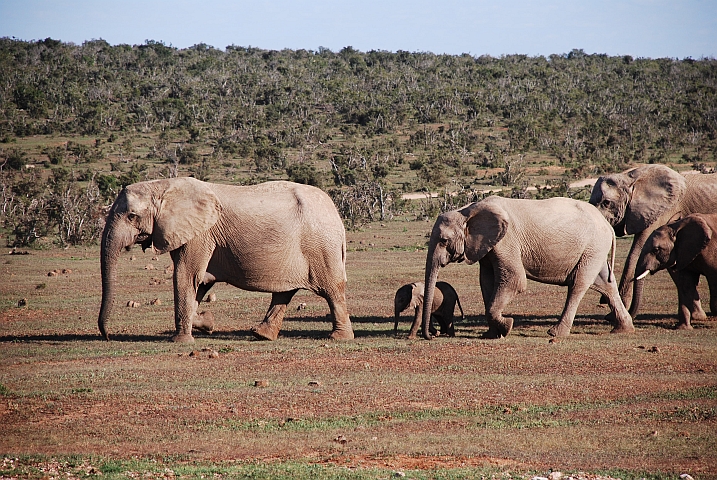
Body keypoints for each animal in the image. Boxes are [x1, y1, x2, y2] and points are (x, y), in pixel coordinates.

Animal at [96, 176, 354, 342]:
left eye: (131, 216)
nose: (108, 337)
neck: (162, 186)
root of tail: (335, 213)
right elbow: (200, 282)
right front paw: (206, 322)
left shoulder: (199, 234)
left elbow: (186, 276)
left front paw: (181, 341)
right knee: (284, 292)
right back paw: (261, 335)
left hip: (321, 246)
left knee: (332, 290)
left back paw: (338, 338)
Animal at [420, 194, 632, 338]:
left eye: (444, 240)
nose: (433, 334)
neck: (467, 211)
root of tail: (607, 225)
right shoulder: (487, 247)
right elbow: (486, 282)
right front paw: (491, 335)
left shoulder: (506, 241)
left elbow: (515, 281)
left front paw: (507, 325)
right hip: (595, 249)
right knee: (606, 284)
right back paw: (622, 329)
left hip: (592, 247)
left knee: (578, 285)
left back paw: (555, 333)